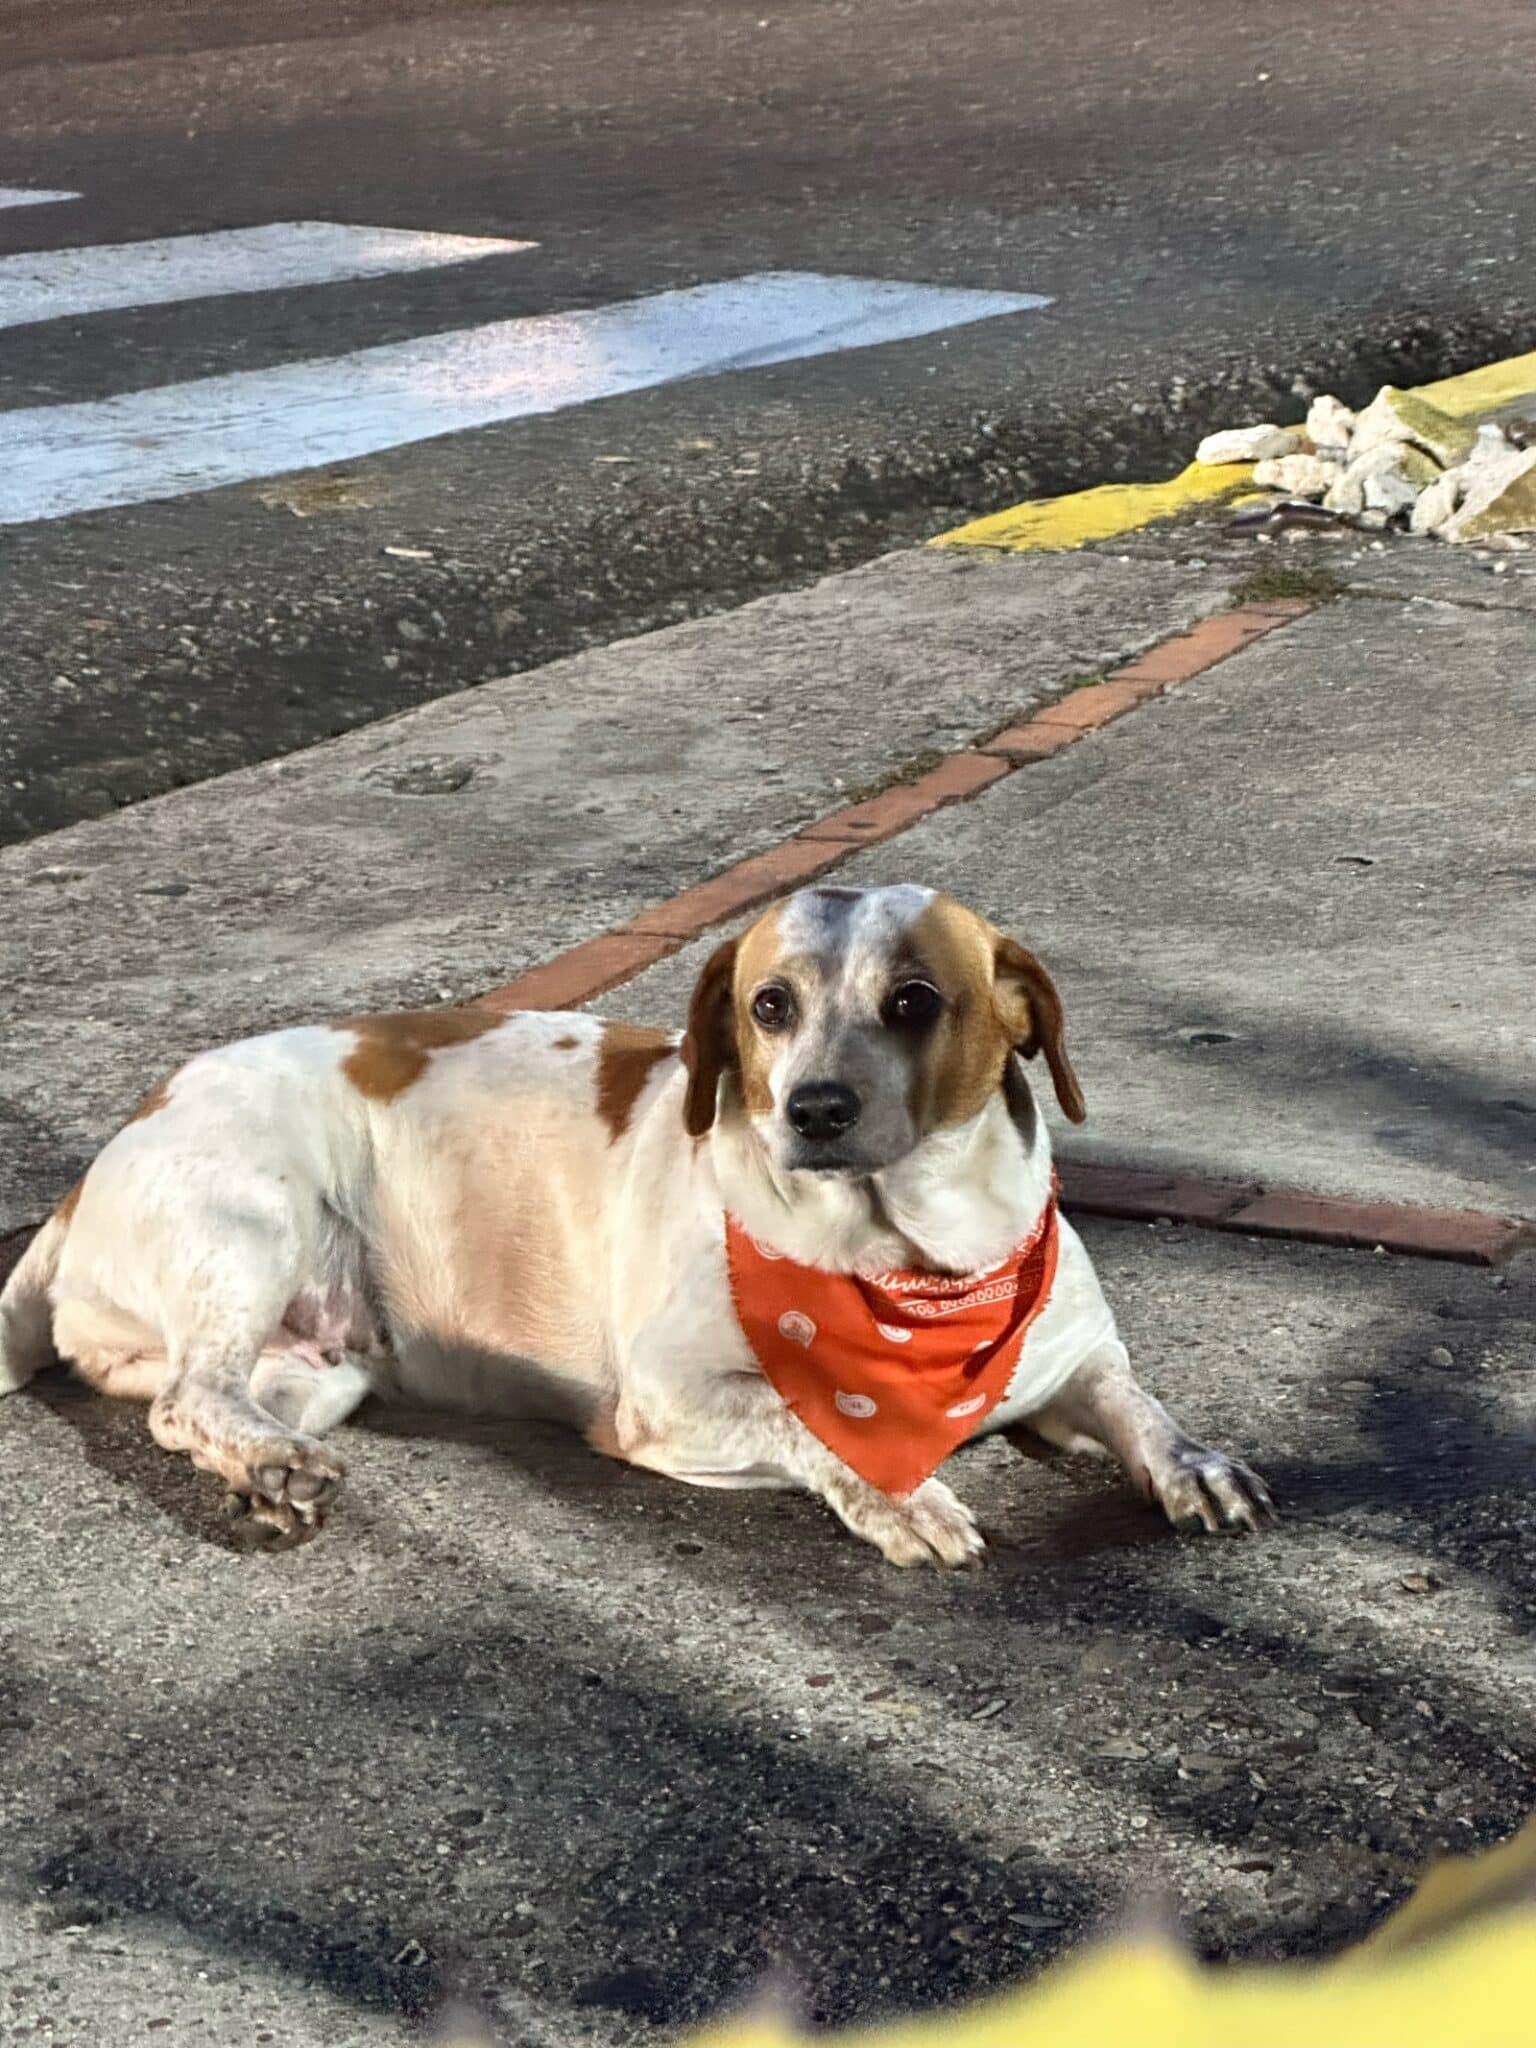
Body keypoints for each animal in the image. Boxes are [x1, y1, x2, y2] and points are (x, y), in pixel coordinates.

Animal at [0, 884, 1277, 1564]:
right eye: (769, 1005)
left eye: (917, 1000)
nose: (814, 1106)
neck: (909, 1261)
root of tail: (87, 1173)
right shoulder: (668, 1405)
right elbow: (817, 1428)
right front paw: (901, 1496)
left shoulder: (1071, 1356)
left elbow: (1136, 1399)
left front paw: (1191, 1458)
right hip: (249, 1231)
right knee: (185, 1396)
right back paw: (268, 1465)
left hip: (321, 1366)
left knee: (193, 1405)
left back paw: (263, 1468)